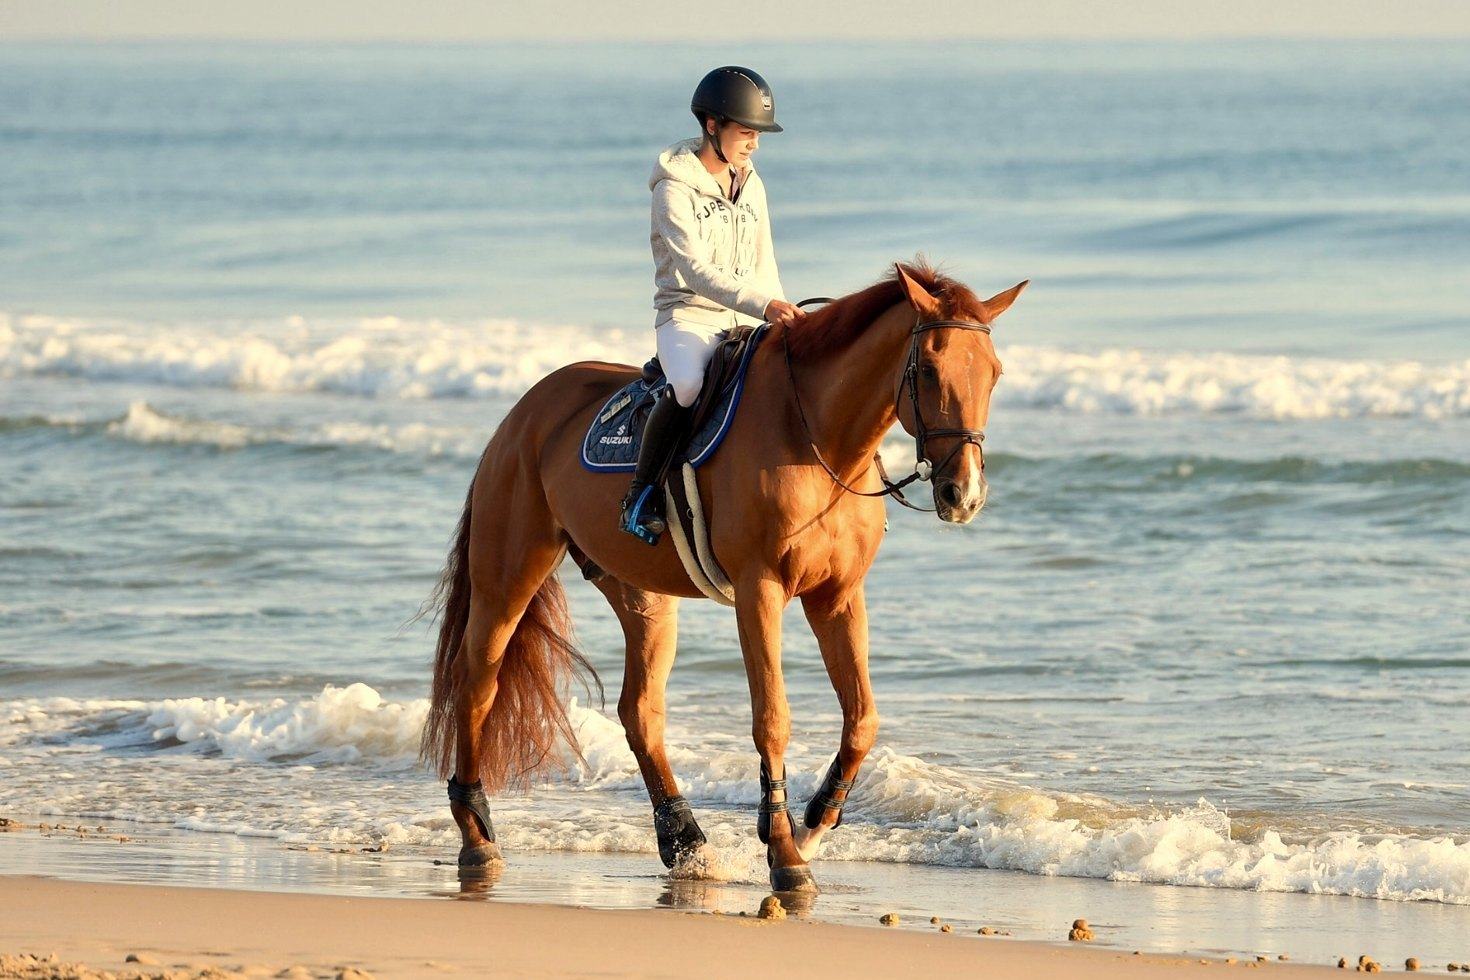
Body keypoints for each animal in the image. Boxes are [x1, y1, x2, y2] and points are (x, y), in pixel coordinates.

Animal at [420, 261, 1026, 893]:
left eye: (994, 373)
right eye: (928, 369)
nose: (964, 494)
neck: (813, 435)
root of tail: (522, 413)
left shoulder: (837, 596)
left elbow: (863, 718)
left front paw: (813, 825)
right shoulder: (760, 592)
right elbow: (772, 720)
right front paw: (784, 852)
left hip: (643, 596)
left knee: (640, 711)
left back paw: (684, 840)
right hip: (507, 579)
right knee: (477, 685)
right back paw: (476, 835)